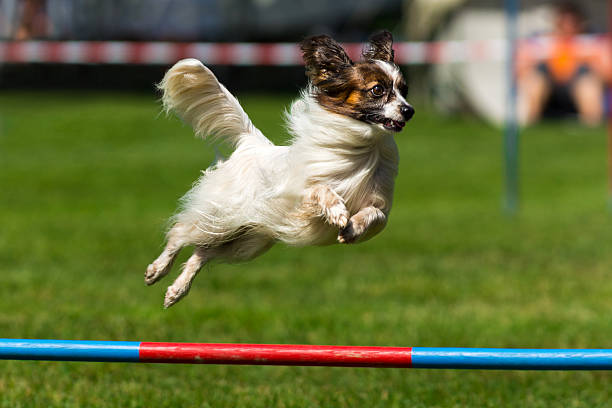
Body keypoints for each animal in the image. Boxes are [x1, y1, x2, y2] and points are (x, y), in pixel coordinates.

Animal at [145, 31, 414, 306]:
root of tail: (251, 145)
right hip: (220, 215)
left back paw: (177, 290)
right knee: (180, 234)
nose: (409, 110)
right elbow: (321, 189)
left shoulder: (379, 207)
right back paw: (157, 270)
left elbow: (375, 215)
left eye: (404, 91)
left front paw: (353, 228)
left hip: (247, 241)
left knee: (201, 253)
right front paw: (337, 211)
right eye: (378, 90)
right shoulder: (299, 194)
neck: (364, 149)